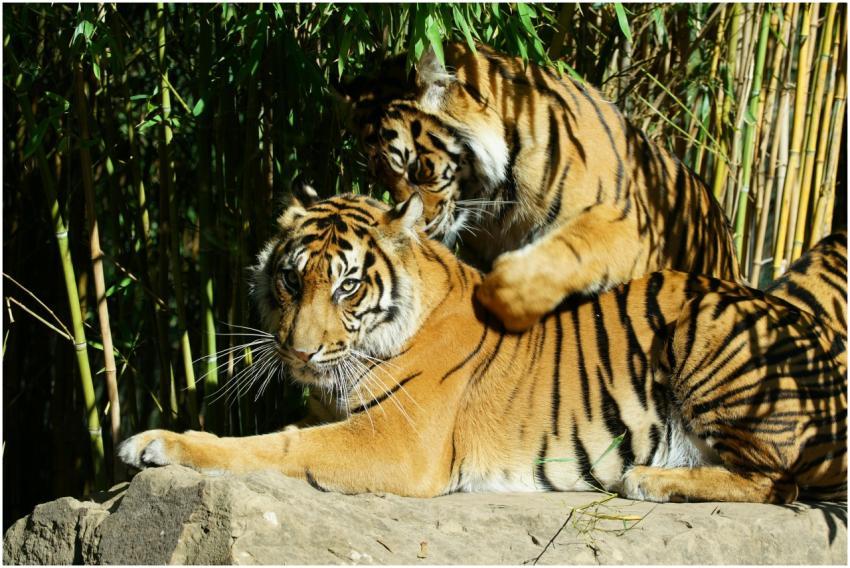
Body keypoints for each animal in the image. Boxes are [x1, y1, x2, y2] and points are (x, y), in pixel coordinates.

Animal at [118, 194, 846, 503]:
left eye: (349, 286)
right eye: (292, 280)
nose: (298, 352)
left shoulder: (398, 442)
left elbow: (280, 445)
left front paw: (156, 443)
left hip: (710, 332)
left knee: (777, 484)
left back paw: (650, 480)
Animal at [338, 42, 740, 331]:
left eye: (418, 169)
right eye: (382, 180)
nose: (416, 229)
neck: (498, 204)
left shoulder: (630, 225)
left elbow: (552, 259)